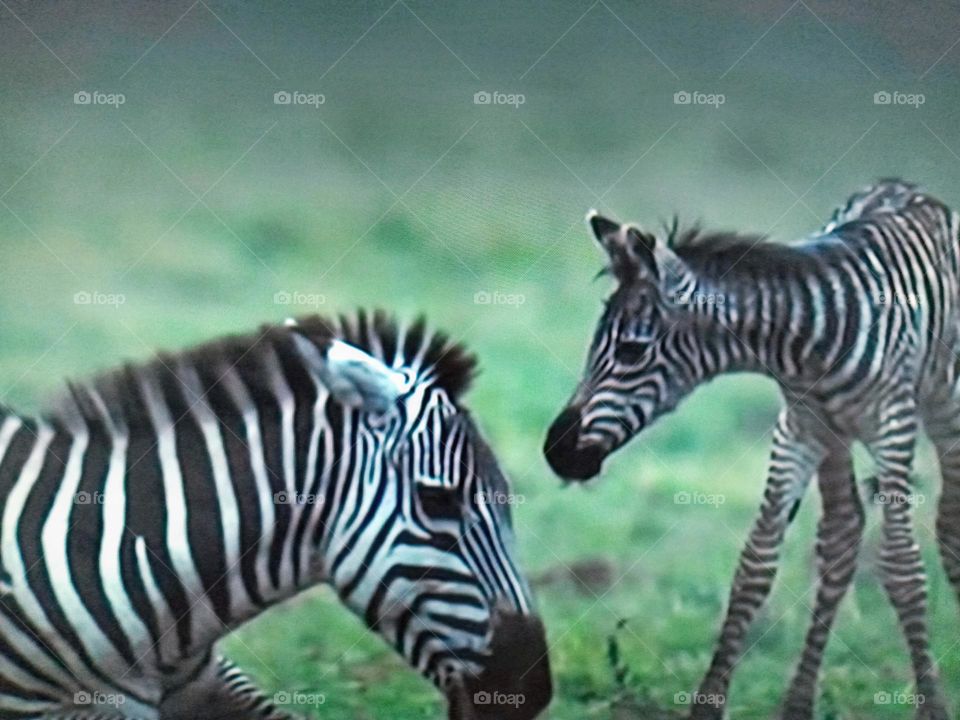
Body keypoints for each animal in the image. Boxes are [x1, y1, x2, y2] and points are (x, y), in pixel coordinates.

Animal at [543, 180, 960, 720]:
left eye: (632, 351)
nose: (556, 452)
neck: (809, 342)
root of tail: (906, 188)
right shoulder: (798, 430)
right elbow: (755, 564)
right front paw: (707, 703)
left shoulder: (894, 427)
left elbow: (903, 567)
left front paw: (933, 706)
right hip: (834, 441)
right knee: (842, 534)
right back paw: (798, 703)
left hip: (945, 411)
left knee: (948, 524)